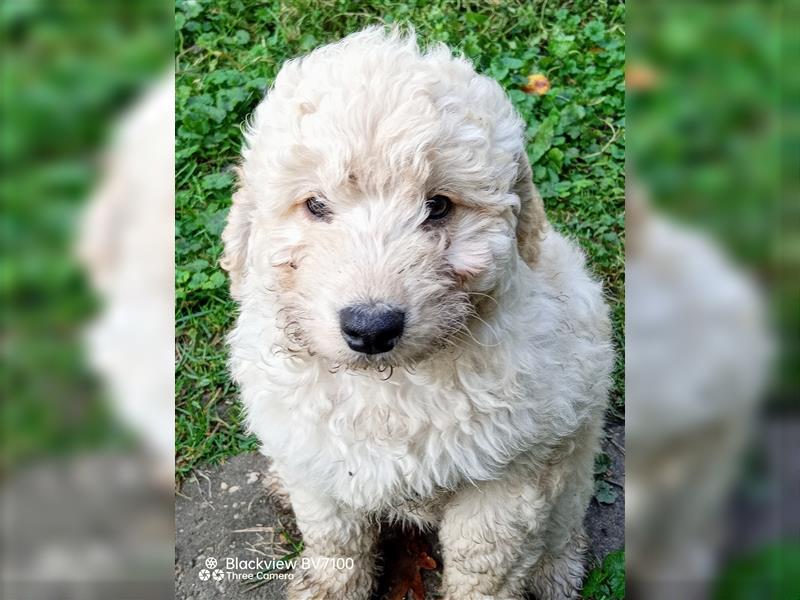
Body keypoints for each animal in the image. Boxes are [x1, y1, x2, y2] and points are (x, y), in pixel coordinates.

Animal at [222, 28, 608, 600]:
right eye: (315, 205)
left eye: (439, 205)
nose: (371, 328)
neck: (388, 386)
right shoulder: (317, 457)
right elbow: (334, 535)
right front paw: (331, 585)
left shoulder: (509, 478)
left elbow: (484, 565)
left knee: (564, 526)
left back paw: (553, 573)